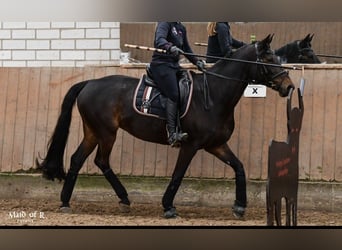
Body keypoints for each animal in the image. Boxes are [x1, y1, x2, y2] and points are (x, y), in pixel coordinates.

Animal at [36, 34, 294, 219]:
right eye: (269, 60)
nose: (289, 86)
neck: (213, 95)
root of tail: (90, 82)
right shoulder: (191, 145)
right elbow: (178, 174)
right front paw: (168, 207)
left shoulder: (216, 145)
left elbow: (239, 168)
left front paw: (240, 206)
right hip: (106, 133)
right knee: (101, 161)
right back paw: (120, 198)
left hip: (93, 132)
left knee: (77, 159)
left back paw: (68, 201)